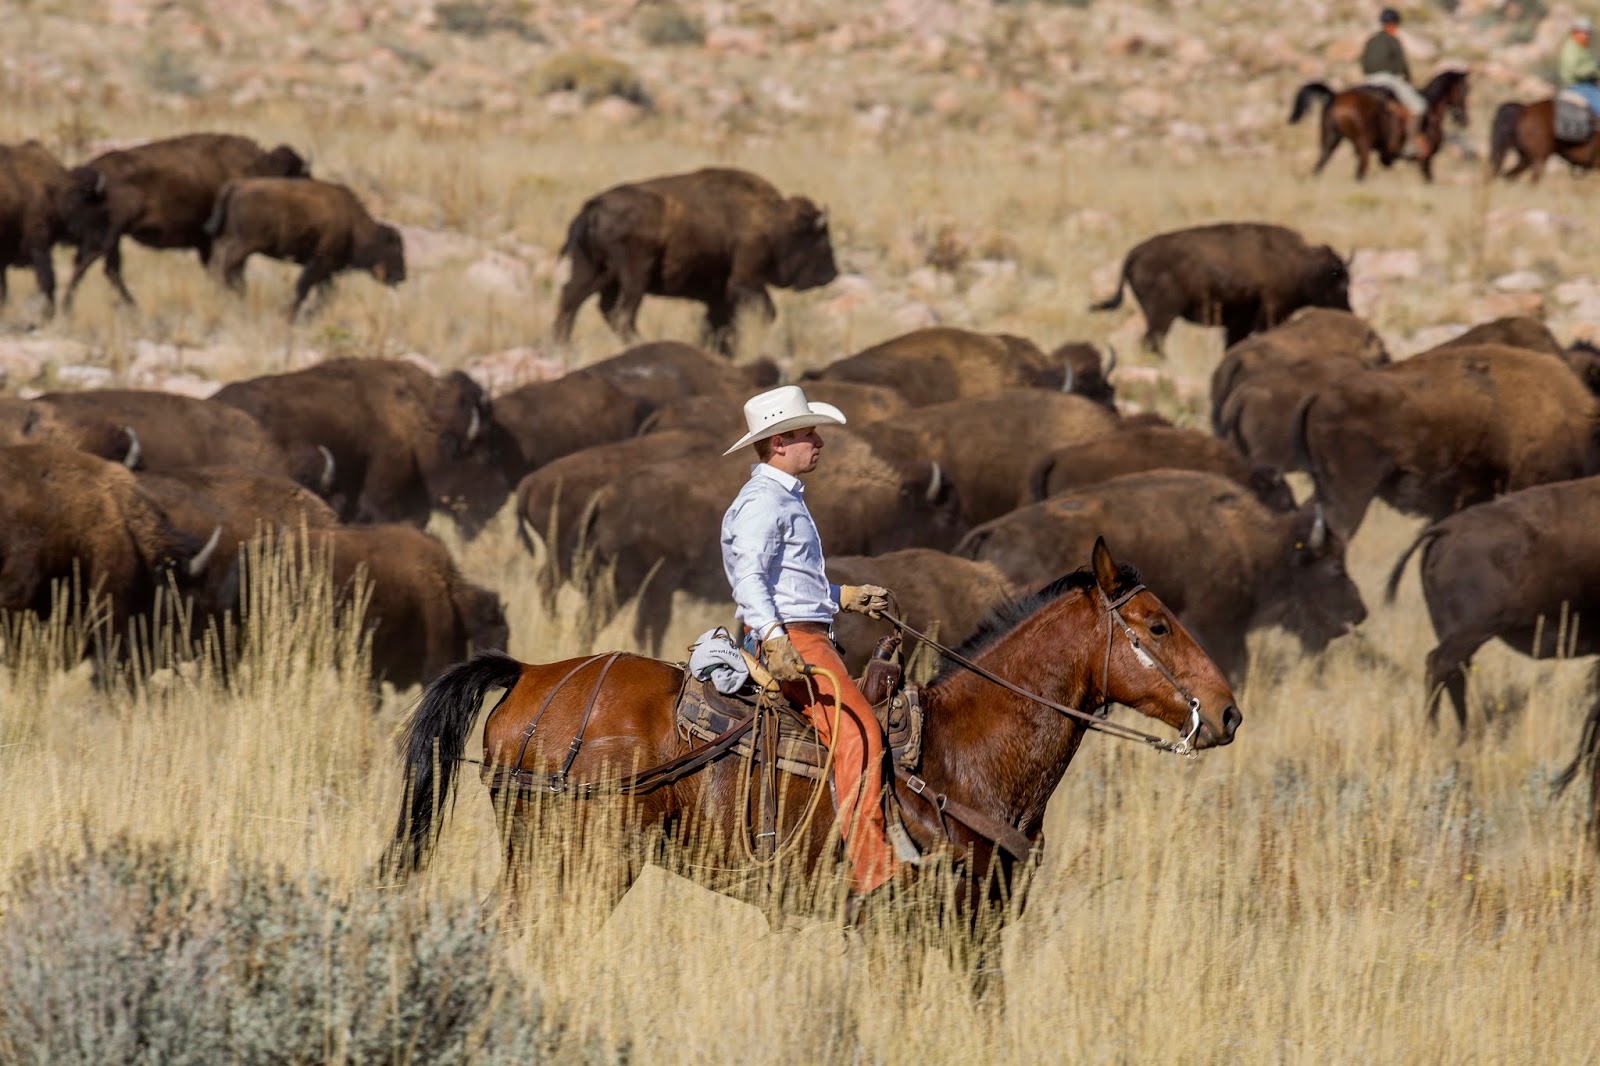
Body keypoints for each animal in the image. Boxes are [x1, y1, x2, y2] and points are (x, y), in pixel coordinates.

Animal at [62, 132, 308, 309]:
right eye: (297, 176)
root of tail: (90, 171)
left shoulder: (206, 245)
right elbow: (230, 273)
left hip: (113, 238)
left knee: (104, 268)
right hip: (110, 235)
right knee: (93, 266)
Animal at [205, 177, 405, 318]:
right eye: (395, 250)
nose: (402, 276)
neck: (353, 224)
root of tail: (237, 186)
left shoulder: (328, 272)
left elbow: (323, 294)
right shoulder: (321, 263)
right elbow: (303, 287)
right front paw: (289, 314)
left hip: (235, 243)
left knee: (228, 267)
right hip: (245, 244)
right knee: (224, 266)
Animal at [552, 167, 837, 354]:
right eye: (821, 241)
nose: (831, 274)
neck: (772, 220)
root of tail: (592, 207)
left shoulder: (719, 294)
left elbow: (717, 321)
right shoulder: (745, 277)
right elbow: (765, 311)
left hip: (596, 272)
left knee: (572, 300)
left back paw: (564, 346)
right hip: (634, 275)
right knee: (621, 313)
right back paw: (640, 343)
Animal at [1092, 223, 1352, 355]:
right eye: (1339, 280)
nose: (1348, 311)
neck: (1298, 265)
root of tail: (1135, 253)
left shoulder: (1237, 325)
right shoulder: (1268, 315)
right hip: (1162, 315)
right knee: (1153, 341)